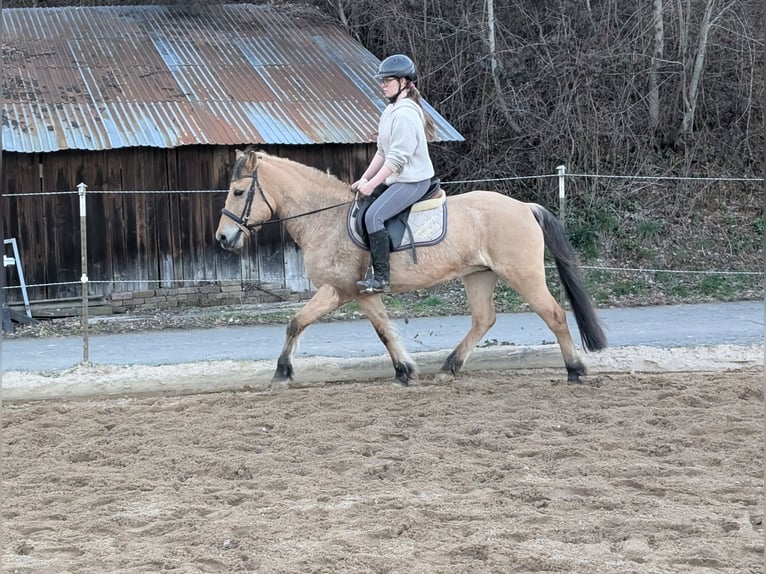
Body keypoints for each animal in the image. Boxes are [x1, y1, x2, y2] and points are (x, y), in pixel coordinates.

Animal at [215, 148, 607, 391]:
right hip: (478, 275)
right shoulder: (359, 292)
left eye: (238, 192)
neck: (326, 219)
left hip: (523, 274)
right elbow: (384, 330)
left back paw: (575, 370)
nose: (222, 237)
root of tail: (524, 207)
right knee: (484, 320)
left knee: (554, 314)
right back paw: (449, 368)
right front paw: (405, 369)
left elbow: (299, 323)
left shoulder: (340, 289)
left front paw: (282, 373)